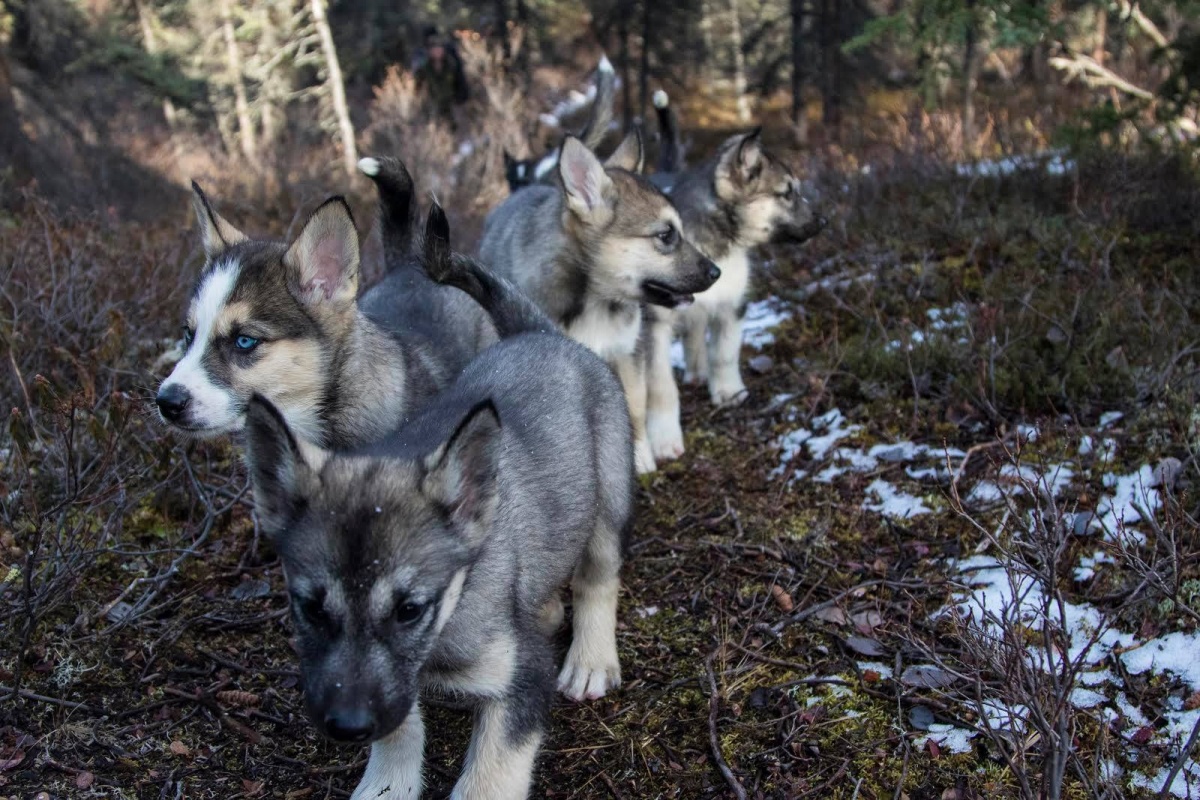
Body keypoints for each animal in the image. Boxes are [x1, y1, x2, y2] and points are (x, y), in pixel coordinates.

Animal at [246, 205, 638, 800]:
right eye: (310, 607)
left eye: (409, 609)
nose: (347, 726)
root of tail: (537, 332)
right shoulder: (392, 690)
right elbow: (400, 726)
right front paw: (387, 785)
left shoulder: (521, 681)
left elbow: (488, 777)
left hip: (609, 499)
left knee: (598, 576)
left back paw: (591, 659)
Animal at [477, 128, 720, 472]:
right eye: (665, 235)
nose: (717, 272)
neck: (595, 302)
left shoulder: (627, 352)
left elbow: (635, 407)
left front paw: (639, 458)